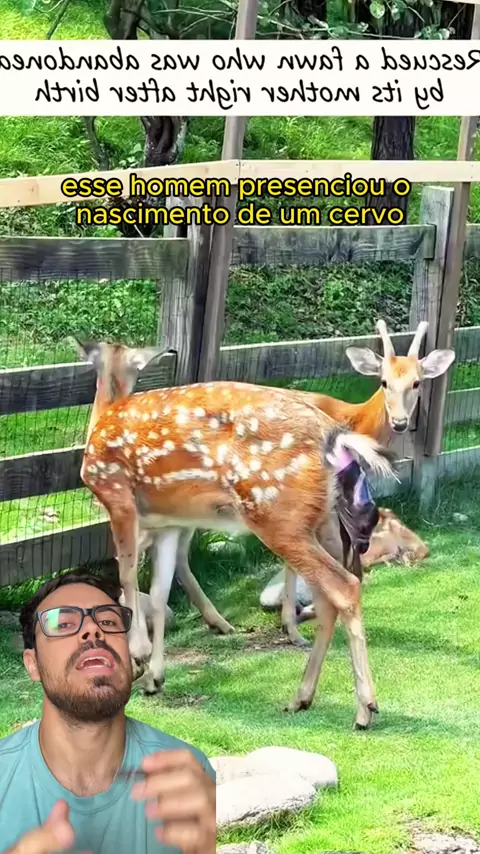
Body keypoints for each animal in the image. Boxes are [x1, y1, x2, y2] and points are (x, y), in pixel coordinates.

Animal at [77, 339, 397, 730]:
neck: (102, 420)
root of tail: (336, 437)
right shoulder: (168, 523)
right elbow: (160, 589)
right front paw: (154, 677)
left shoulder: (118, 498)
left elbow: (126, 577)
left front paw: (138, 658)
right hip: (324, 524)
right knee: (331, 596)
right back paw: (301, 698)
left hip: (276, 514)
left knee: (344, 587)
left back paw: (364, 710)